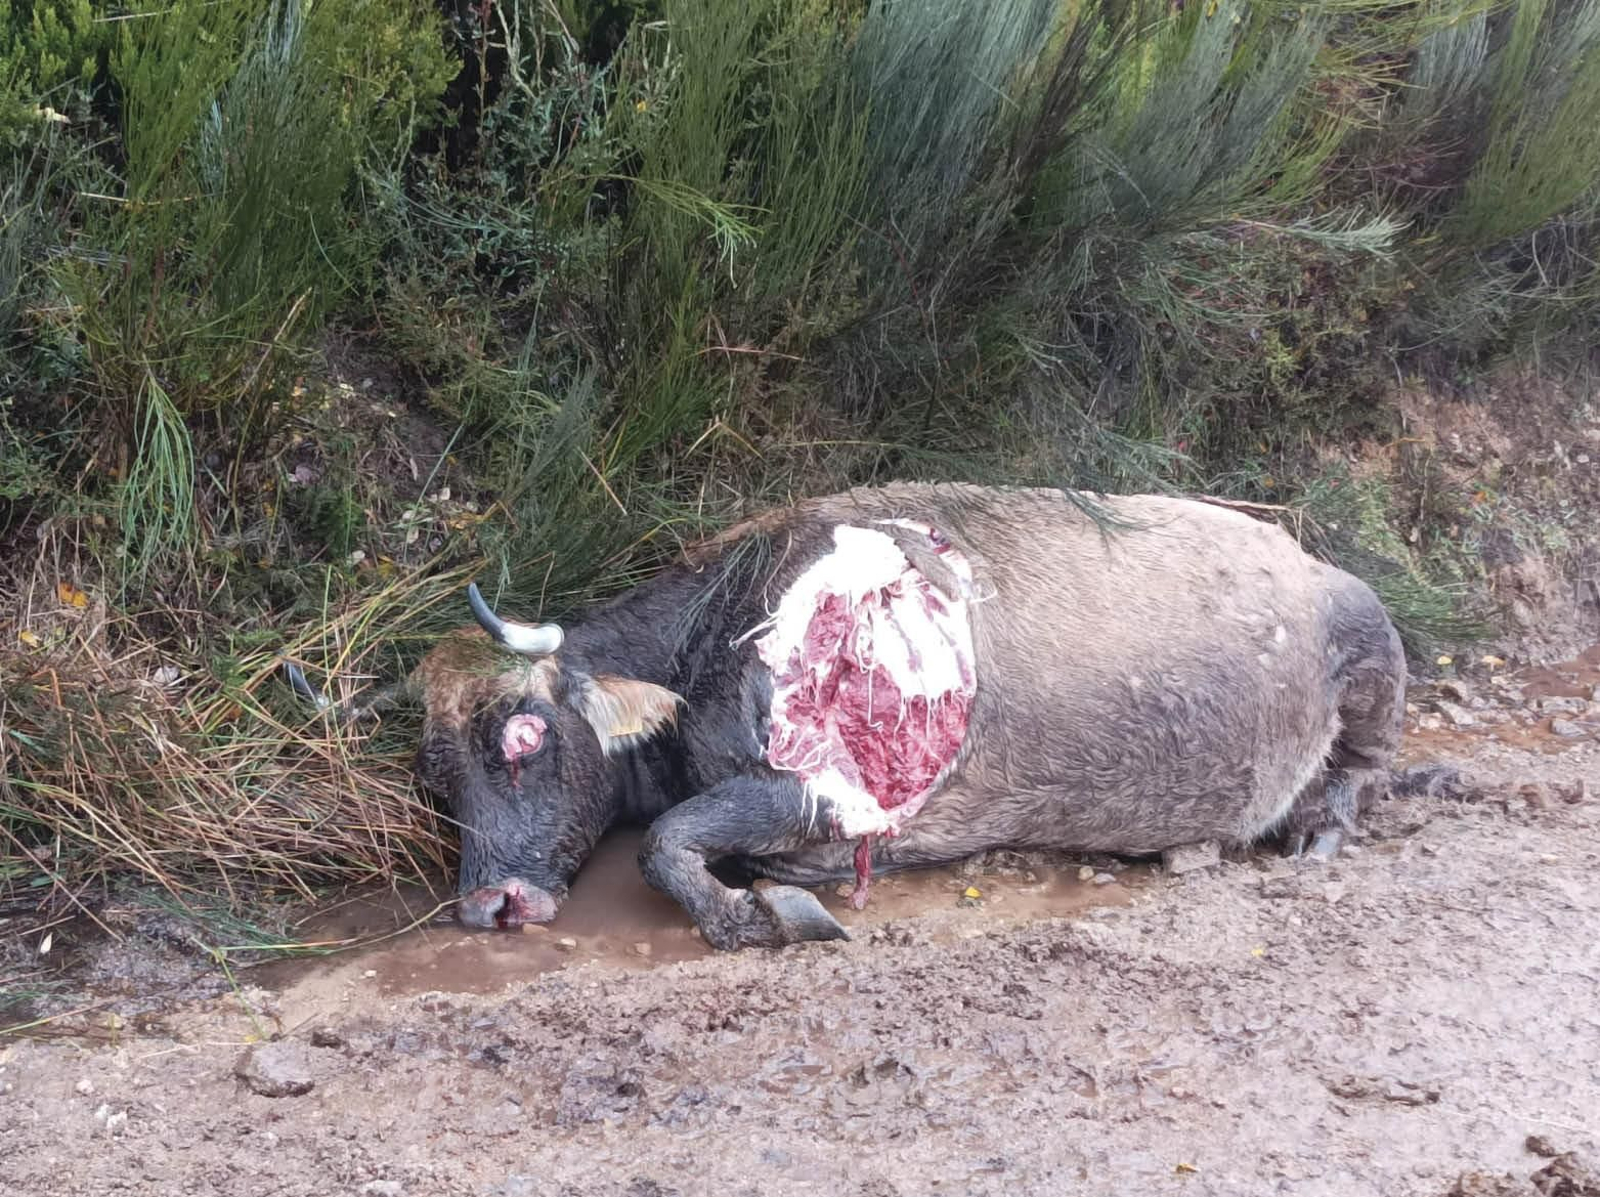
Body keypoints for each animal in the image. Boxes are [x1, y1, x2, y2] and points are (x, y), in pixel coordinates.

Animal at [284, 482, 1408, 951]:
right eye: (433, 779)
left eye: (524, 735)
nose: (490, 905)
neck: (717, 640)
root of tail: (1300, 550)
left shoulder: (836, 794)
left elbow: (667, 842)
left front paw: (755, 913)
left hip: (1372, 643)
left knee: (1363, 762)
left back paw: (1318, 826)